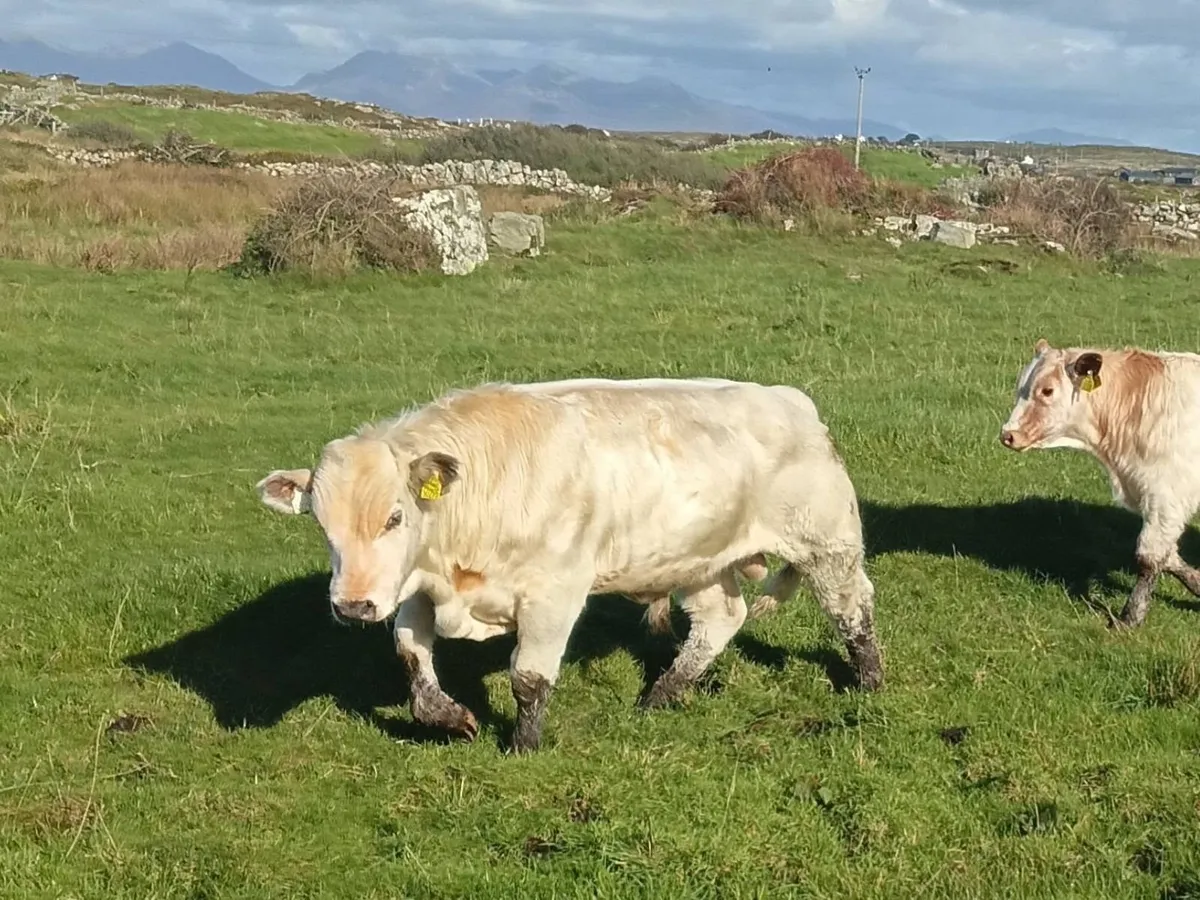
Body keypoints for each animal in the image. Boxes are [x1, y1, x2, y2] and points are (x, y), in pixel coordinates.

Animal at [255, 376, 884, 753]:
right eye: (321, 525)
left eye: (394, 517)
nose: (352, 605)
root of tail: (790, 400)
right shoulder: (413, 586)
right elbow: (412, 655)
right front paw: (450, 717)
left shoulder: (553, 592)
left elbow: (529, 677)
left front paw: (523, 747)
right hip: (695, 561)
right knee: (721, 617)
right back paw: (661, 694)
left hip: (827, 540)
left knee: (851, 608)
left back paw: (869, 681)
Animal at [1000, 338, 1200, 628]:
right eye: (1020, 385)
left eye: (1047, 390)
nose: (1008, 434)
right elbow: (1169, 555)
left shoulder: (1166, 493)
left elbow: (1149, 556)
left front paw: (1130, 618)